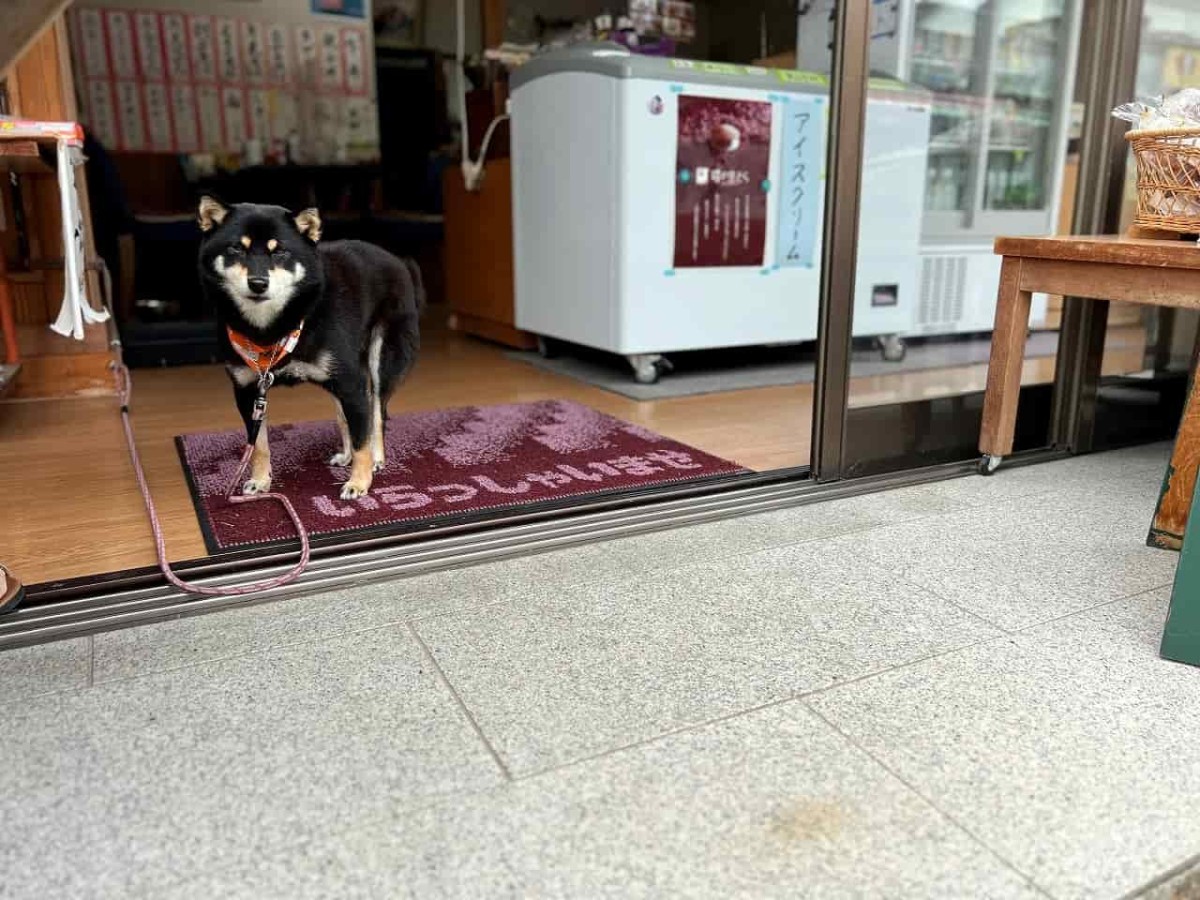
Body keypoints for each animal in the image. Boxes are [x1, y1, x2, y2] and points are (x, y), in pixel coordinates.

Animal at [196, 195, 422, 501]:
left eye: (280, 252)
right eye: (236, 249)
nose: (258, 283)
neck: (269, 330)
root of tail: (399, 261)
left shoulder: (350, 382)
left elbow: (362, 435)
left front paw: (359, 482)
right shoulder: (249, 391)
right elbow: (259, 446)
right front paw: (261, 480)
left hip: (380, 360)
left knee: (376, 414)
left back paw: (376, 458)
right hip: (338, 380)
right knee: (345, 417)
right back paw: (345, 455)